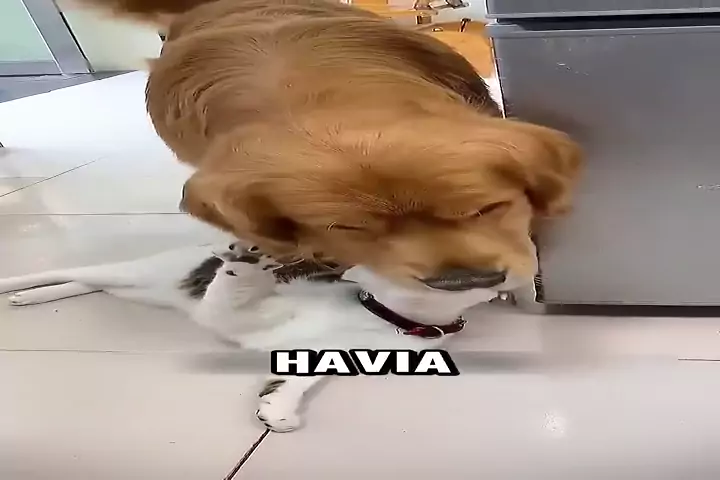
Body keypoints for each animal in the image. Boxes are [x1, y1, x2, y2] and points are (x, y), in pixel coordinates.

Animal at [0, 243, 498, 432]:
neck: (384, 315)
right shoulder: (240, 314)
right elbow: (237, 293)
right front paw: (248, 265)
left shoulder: (328, 353)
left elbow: (298, 380)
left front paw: (278, 406)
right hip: (136, 272)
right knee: (72, 270)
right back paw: (17, 285)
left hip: (142, 290)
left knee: (89, 284)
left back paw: (39, 297)